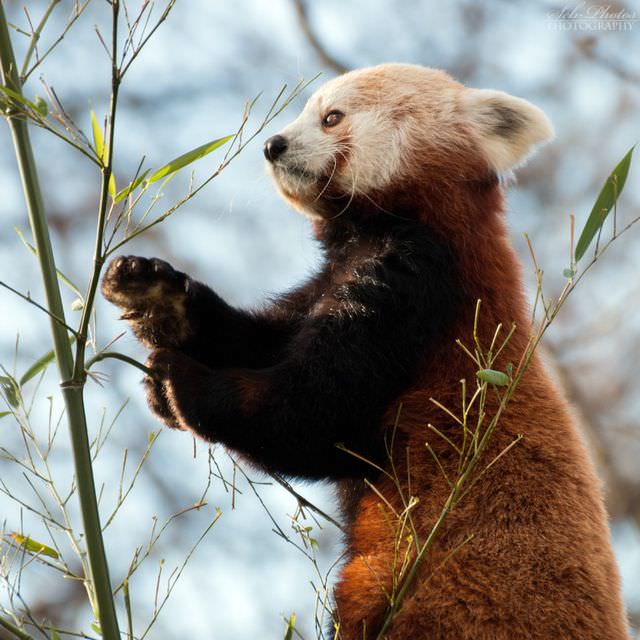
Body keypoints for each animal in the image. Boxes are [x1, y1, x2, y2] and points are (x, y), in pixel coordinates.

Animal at [102, 62, 628, 636]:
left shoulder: (419, 285)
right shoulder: (325, 285)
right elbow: (258, 341)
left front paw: (188, 384)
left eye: (331, 118)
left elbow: (314, 416)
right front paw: (162, 300)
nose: (273, 144)